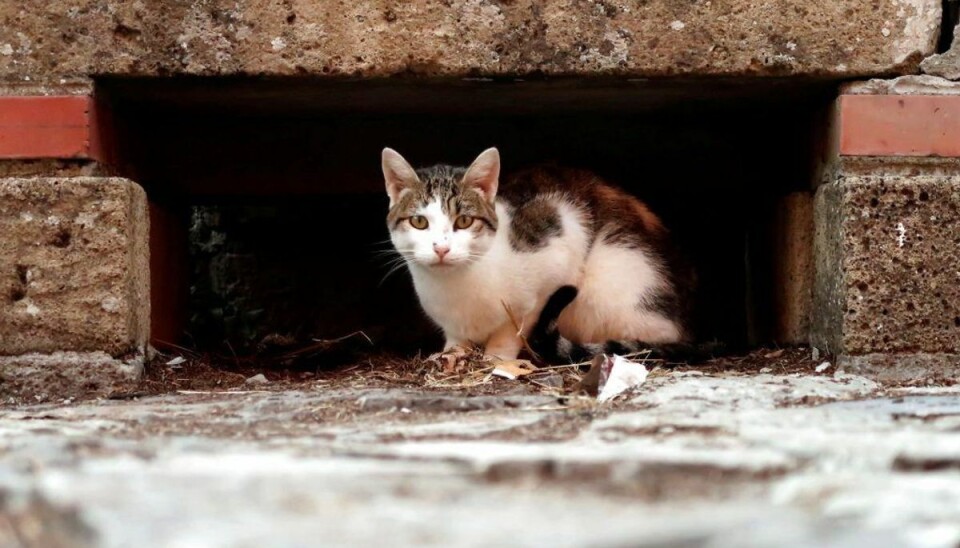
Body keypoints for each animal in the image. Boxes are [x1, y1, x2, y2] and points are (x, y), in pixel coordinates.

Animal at [384, 147, 696, 364]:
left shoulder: (557, 252)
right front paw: (452, 353)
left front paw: (497, 357)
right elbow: (456, 337)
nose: (441, 248)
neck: (454, 288)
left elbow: (516, 327)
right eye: (419, 222)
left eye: (464, 221)